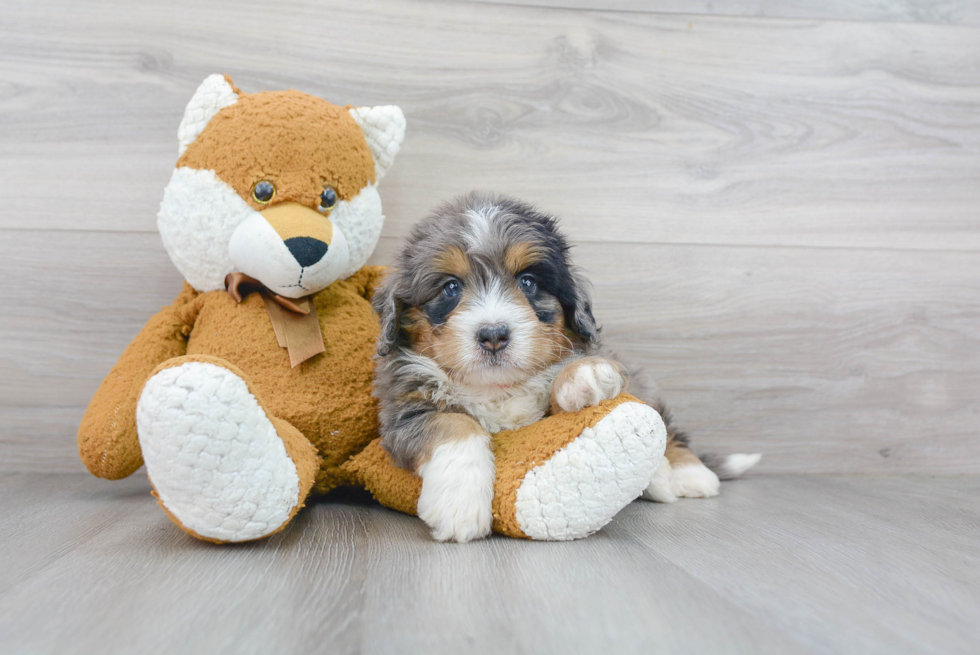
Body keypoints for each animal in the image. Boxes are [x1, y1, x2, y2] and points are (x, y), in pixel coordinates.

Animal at [372, 191, 760, 544]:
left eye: (528, 282)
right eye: (451, 287)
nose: (494, 335)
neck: (498, 389)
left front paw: (585, 374)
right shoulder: (403, 412)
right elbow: (453, 423)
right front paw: (460, 506)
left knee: (673, 431)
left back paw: (688, 475)